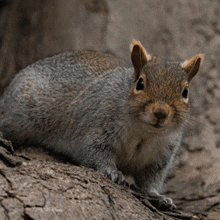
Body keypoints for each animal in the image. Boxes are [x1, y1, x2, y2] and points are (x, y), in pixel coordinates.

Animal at [0, 39, 203, 210]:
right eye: (140, 83)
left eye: (185, 92)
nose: (160, 113)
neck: (145, 132)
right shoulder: (97, 126)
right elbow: (95, 153)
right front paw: (112, 172)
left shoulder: (161, 155)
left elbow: (149, 180)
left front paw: (158, 196)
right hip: (20, 115)